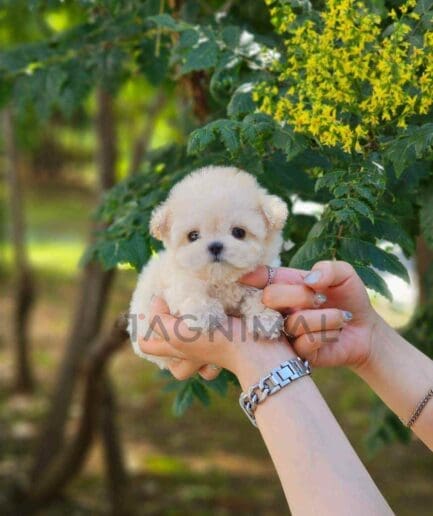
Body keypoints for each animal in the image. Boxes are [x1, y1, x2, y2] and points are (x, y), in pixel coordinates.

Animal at [130, 165, 288, 366]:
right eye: (193, 236)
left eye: (239, 232)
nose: (215, 246)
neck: (222, 280)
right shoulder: (178, 281)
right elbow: (190, 292)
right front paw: (206, 312)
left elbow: (259, 296)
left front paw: (265, 318)